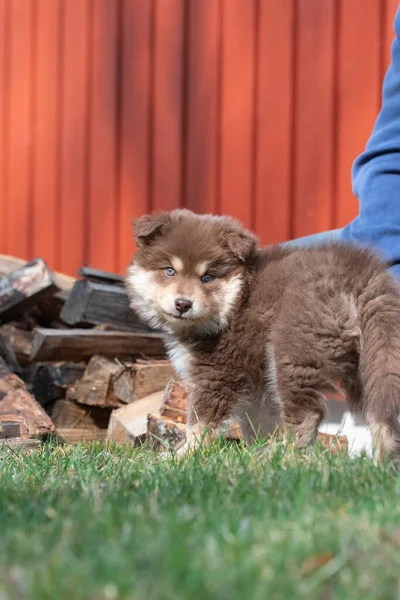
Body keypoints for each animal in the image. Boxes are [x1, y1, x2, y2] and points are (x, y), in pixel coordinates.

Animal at [126, 209, 400, 462]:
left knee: (306, 414)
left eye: (207, 277)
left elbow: (200, 422)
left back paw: (286, 458)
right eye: (169, 271)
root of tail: (362, 276)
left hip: (294, 351)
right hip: (372, 360)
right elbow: (257, 423)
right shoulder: (255, 386)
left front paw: (183, 455)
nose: (183, 304)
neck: (235, 300)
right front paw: (252, 455)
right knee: (382, 414)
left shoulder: (219, 372)